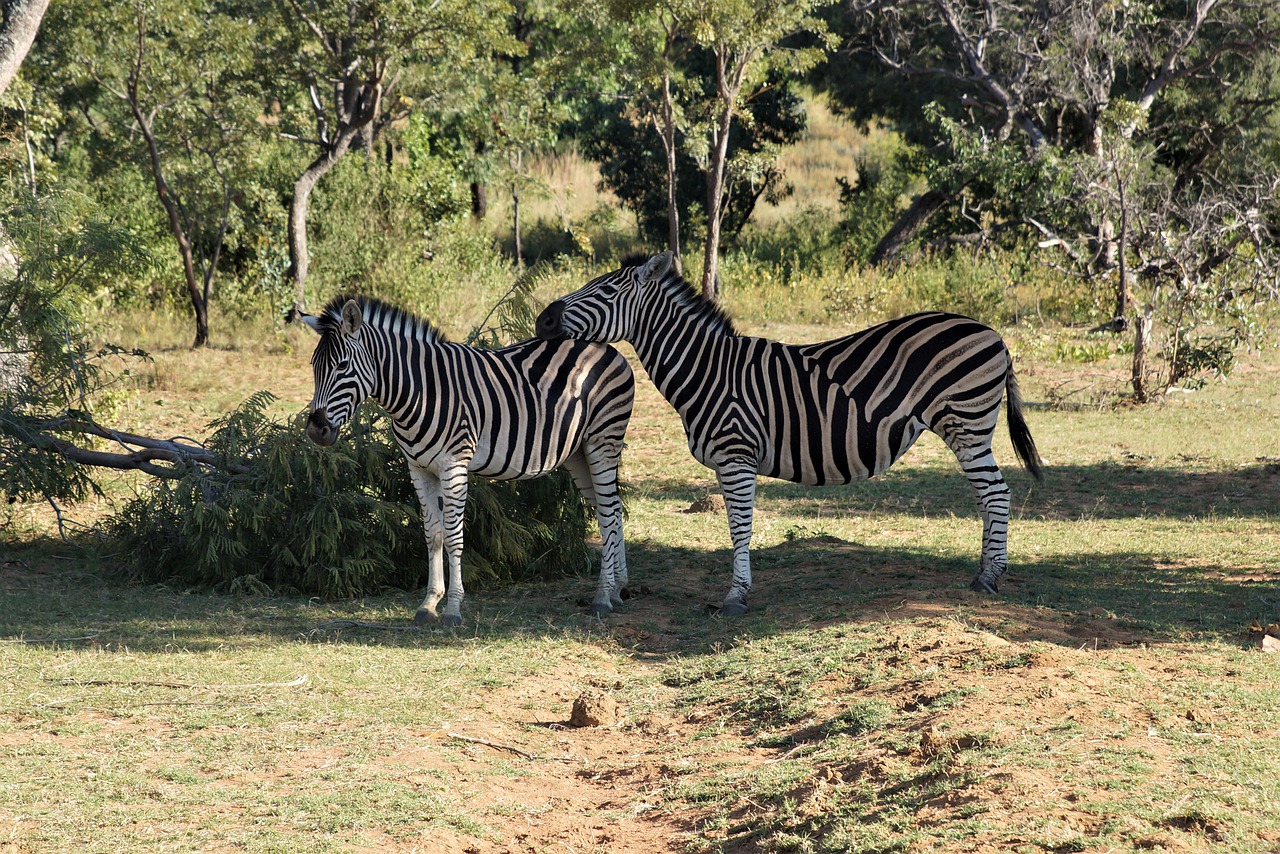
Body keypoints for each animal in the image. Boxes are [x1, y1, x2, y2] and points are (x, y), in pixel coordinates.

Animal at [304, 297, 634, 624]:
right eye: (314, 367)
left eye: (342, 366)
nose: (316, 430)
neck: (421, 392)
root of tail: (604, 346)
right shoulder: (419, 469)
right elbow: (433, 535)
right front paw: (428, 604)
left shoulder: (454, 466)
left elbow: (453, 536)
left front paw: (453, 608)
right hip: (578, 453)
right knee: (611, 508)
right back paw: (618, 588)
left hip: (603, 441)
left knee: (607, 512)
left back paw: (602, 597)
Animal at [535, 250, 1044, 617]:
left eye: (604, 289)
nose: (542, 320)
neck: (709, 370)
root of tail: (994, 334)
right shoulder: (730, 461)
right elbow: (737, 525)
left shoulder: (736, 455)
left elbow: (739, 527)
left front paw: (735, 597)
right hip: (968, 427)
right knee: (988, 496)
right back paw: (985, 572)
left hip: (966, 424)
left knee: (996, 493)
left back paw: (989, 577)